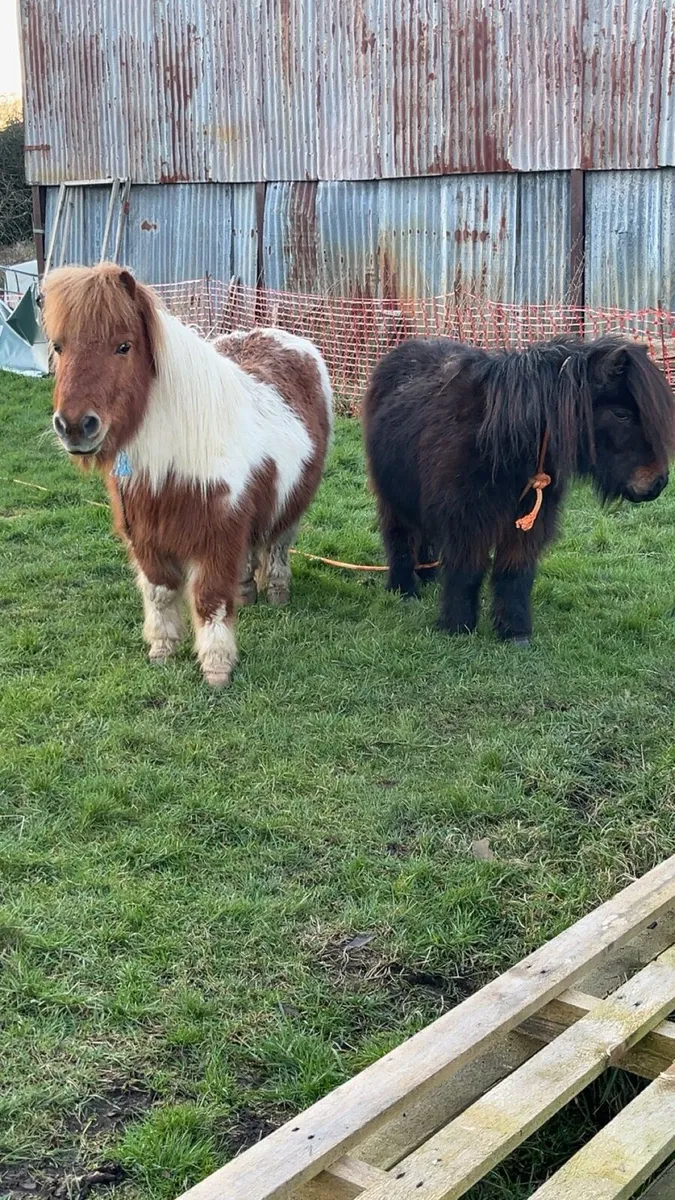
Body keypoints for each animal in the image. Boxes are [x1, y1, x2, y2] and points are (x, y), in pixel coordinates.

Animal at [42, 263, 333, 686]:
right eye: (59, 346)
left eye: (124, 346)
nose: (75, 427)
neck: (174, 460)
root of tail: (283, 337)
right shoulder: (146, 537)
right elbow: (160, 593)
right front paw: (162, 650)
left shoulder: (217, 536)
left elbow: (210, 599)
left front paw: (216, 668)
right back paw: (247, 590)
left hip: (292, 501)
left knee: (278, 542)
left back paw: (277, 591)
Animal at [363, 335, 675, 644]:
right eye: (622, 414)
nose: (658, 483)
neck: (503, 442)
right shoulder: (467, 520)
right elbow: (467, 570)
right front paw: (458, 626)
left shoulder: (527, 522)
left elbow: (514, 573)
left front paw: (515, 632)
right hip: (392, 497)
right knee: (400, 537)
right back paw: (404, 590)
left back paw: (428, 576)